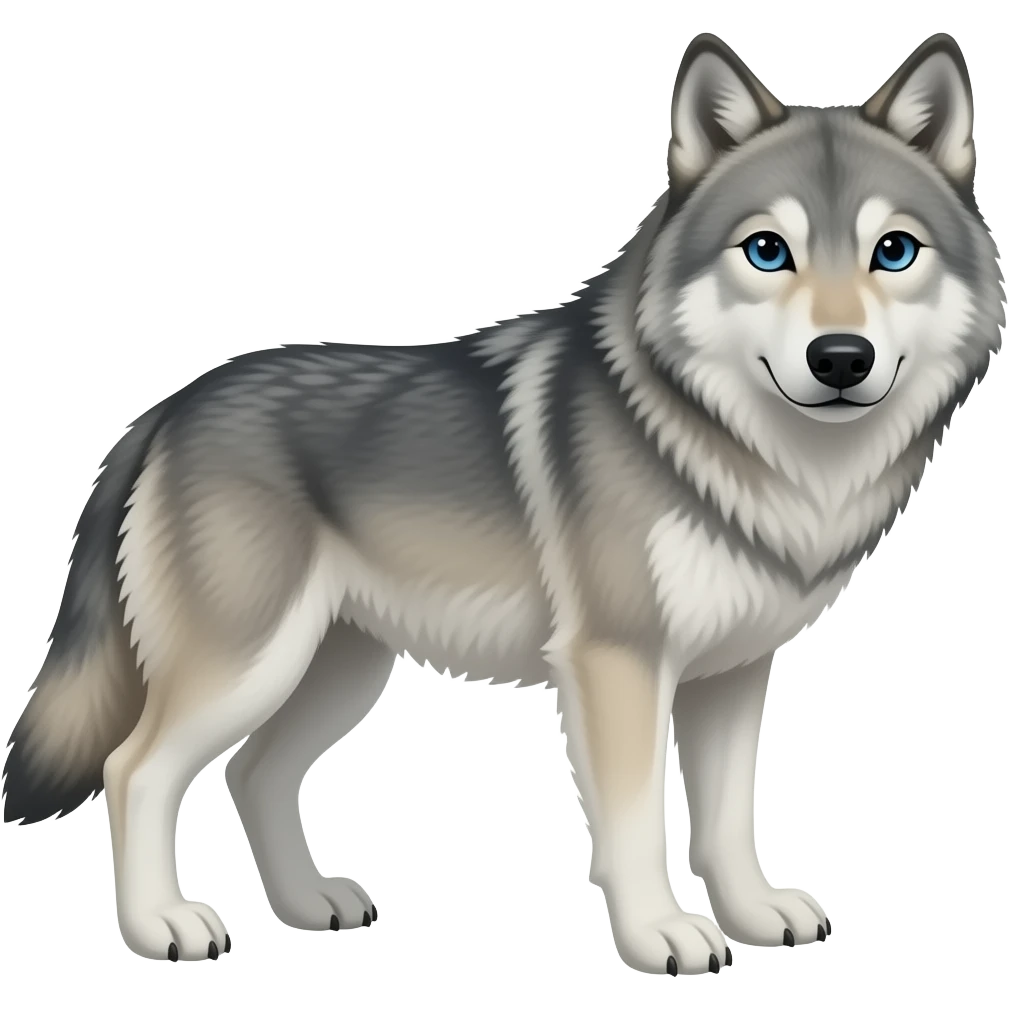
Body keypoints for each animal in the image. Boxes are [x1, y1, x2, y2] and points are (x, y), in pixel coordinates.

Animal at [2, 31, 1003, 974]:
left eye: (892, 252)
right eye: (767, 250)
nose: (840, 358)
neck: (746, 453)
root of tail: (164, 410)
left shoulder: (729, 671)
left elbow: (728, 821)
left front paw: (754, 918)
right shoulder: (618, 664)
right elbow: (636, 824)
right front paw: (659, 936)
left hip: (336, 670)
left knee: (253, 773)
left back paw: (307, 905)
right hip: (248, 664)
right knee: (135, 768)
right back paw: (161, 926)